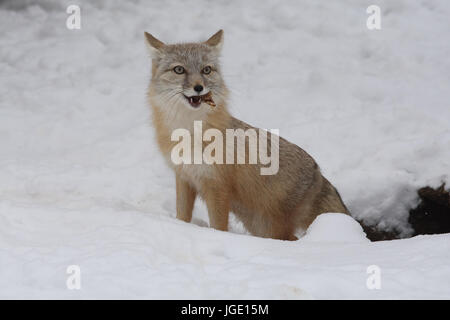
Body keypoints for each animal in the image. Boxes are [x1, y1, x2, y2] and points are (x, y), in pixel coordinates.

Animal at [145, 30, 348, 241]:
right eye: (179, 70)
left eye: (206, 70)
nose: (199, 87)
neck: (190, 132)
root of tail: (318, 172)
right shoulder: (184, 177)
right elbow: (182, 217)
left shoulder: (217, 187)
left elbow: (219, 227)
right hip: (261, 227)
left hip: (272, 229)